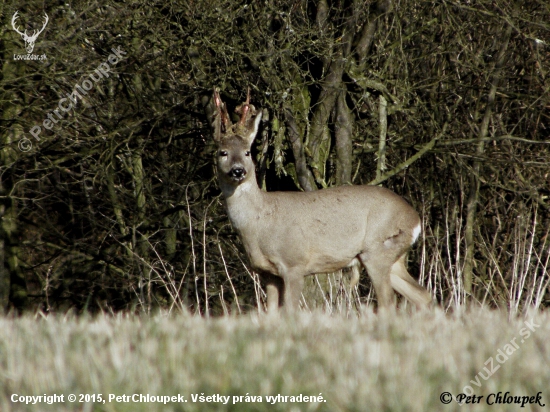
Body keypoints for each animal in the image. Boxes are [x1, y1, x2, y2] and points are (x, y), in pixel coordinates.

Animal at [211, 88, 432, 310]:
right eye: (223, 152)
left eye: (247, 152)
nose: (238, 170)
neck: (259, 223)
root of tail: (415, 220)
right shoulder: (267, 273)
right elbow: (270, 312)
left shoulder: (294, 263)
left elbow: (290, 310)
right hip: (394, 258)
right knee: (422, 294)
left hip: (378, 249)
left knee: (389, 301)